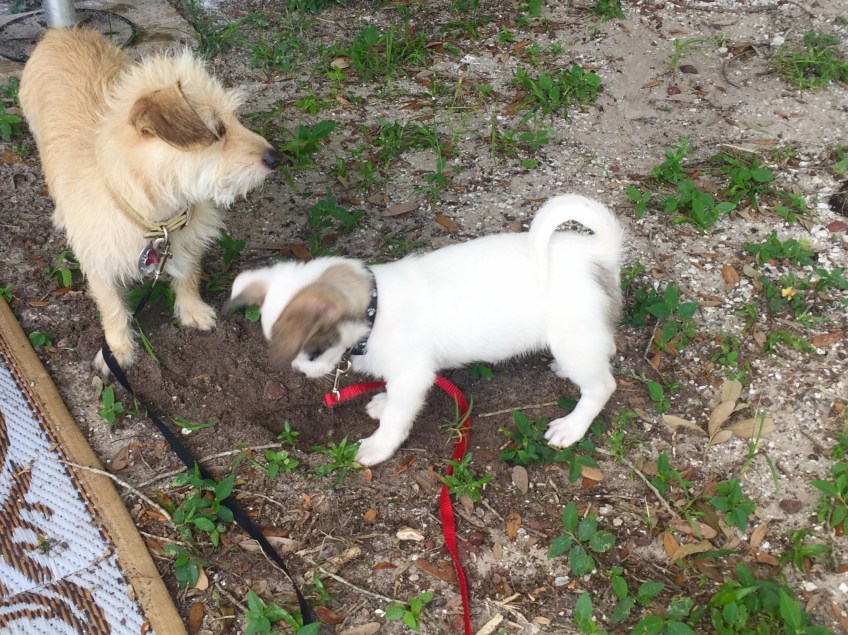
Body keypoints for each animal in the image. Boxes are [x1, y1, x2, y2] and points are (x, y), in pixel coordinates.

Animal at [19, 27, 280, 373]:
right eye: (218, 129)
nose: (276, 157)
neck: (158, 213)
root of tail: (63, 30)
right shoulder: (99, 265)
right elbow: (112, 307)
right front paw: (117, 349)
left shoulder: (185, 241)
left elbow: (188, 275)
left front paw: (192, 310)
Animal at [229, 194, 623, 466]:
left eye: (311, 351)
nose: (298, 371)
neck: (376, 309)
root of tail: (594, 253)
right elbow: (392, 399)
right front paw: (382, 402)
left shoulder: (412, 376)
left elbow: (396, 418)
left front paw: (378, 446)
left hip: (573, 340)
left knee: (602, 387)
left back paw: (572, 427)